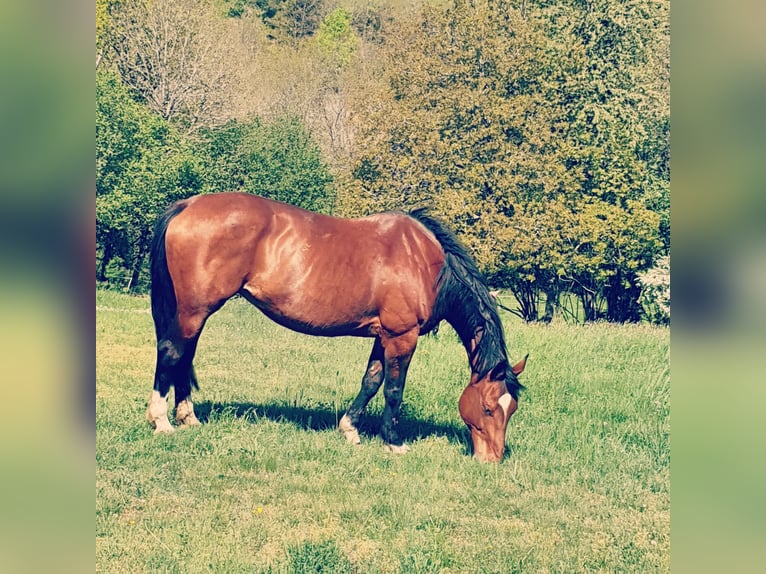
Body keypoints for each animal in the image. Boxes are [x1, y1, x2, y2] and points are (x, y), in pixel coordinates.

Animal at [146, 194, 528, 464]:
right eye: (489, 407)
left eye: (512, 409)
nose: (492, 459)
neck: (424, 260)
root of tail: (188, 205)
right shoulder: (402, 336)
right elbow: (393, 390)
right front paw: (394, 442)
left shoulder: (383, 336)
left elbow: (371, 381)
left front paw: (350, 429)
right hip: (194, 310)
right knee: (172, 353)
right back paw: (161, 421)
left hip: (194, 313)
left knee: (184, 356)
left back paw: (188, 418)